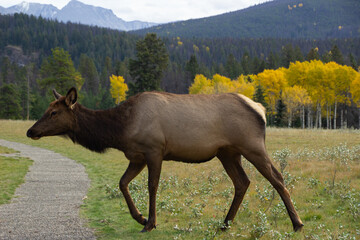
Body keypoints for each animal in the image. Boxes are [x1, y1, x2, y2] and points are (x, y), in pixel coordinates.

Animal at [26, 87, 304, 232]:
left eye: (53, 112)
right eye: (46, 109)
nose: (30, 131)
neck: (119, 130)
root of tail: (261, 110)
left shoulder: (154, 150)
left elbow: (152, 186)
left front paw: (150, 223)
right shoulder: (136, 156)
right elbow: (122, 183)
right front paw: (140, 217)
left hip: (252, 145)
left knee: (277, 177)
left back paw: (297, 222)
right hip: (227, 152)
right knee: (242, 182)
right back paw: (225, 223)